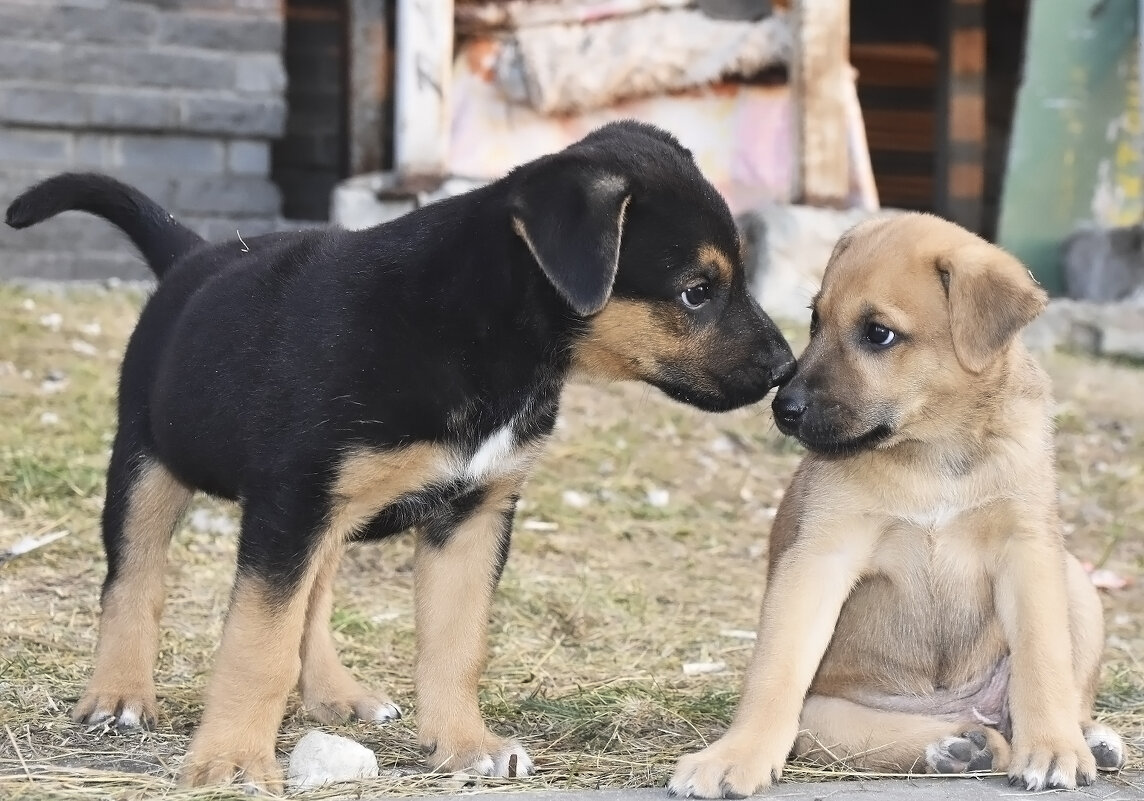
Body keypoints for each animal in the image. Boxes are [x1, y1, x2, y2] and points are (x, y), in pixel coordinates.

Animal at [6, 121, 796, 791]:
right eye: (696, 292)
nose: (784, 370)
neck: (485, 335)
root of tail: (194, 256)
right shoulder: (291, 506)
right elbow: (258, 644)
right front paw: (231, 761)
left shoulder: (472, 514)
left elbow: (455, 641)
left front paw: (464, 743)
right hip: (149, 463)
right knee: (134, 580)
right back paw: (118, 694)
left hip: (326, 517)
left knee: (315, 601)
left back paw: (334, 692)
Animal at [668, 211, 1125, 796]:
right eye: (815, 321)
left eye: (878, 334)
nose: (784, 408)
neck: (932, 452)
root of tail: (961, 708)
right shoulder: (820, 557)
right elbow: (775, 672)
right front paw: (735, 755)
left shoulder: (1028, 549)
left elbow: (1043, 661)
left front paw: (1053, 746)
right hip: (823, 711)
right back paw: (955, 745)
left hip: (1077, 584)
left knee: (1066, 691)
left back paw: (1083, 735)